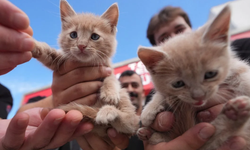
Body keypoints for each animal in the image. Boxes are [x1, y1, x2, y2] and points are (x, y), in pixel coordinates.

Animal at [31, 0, 139, 138]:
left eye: (94, 36)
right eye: (73, 34)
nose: (81, 45)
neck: (85, 63)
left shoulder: (107, 68)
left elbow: (111, 78)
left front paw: (109, 93)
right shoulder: (61, 62)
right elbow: (49, 53)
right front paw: (33, 44)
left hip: (128, 109)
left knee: (128, 122)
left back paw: (107, 112)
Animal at [138, 5, 250, 149]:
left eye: (210, 74)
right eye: (178, 84)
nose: (199, 97)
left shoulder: (237, 68)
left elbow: (244, 78)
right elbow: (162, 92)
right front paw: (149, 110)